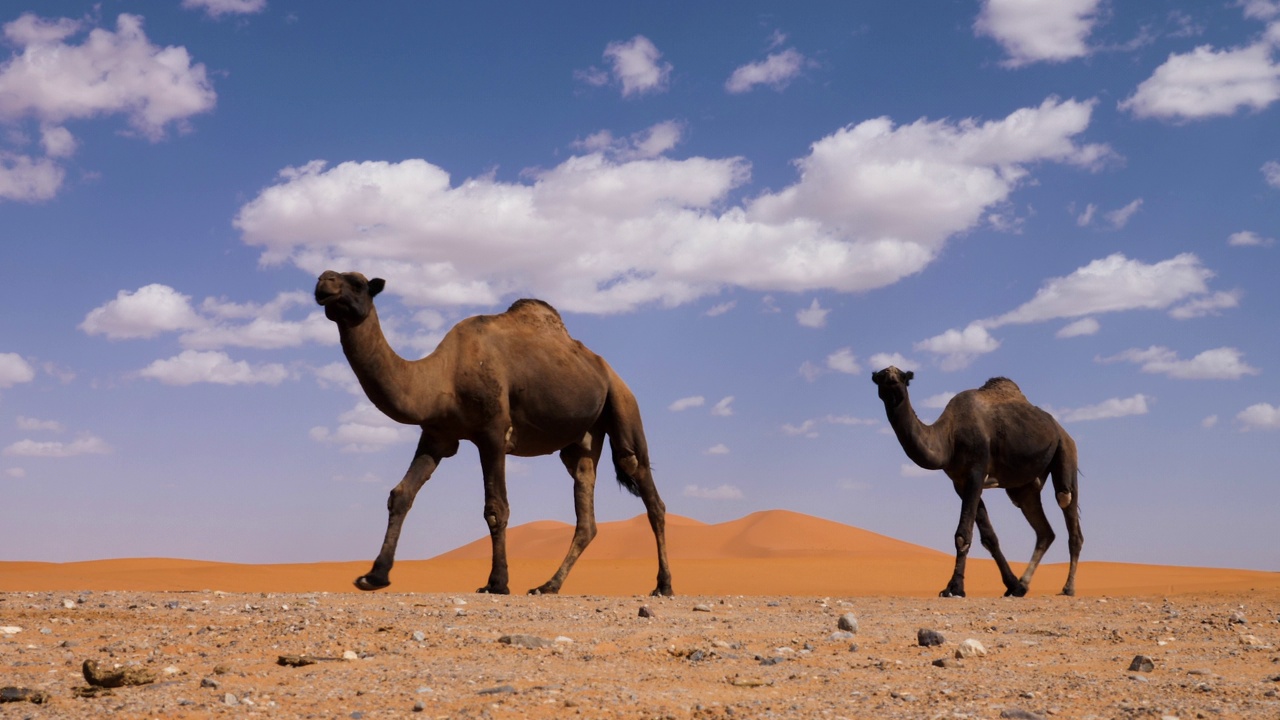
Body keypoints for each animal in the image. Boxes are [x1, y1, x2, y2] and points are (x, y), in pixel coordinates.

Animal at [314, 269, 675, 594]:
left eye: (358, 283)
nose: (323, 281)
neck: (442, 376)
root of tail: (606, 368)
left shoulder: (492, 433)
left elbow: (496, 508)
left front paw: (497, 583)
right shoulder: (437, 435)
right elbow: (401, 494)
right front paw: (374, 575)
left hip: (623, 403)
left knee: (645, 487)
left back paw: (663, 585)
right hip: (582, 440)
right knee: (586, 509)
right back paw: (548, 585)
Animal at [870, 363, 1080, 594]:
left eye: (903, 376)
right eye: (881, 375)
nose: (891, 377)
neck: (949, 437)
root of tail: (1061, 429)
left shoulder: (976, 472)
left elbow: (962, 535)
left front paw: (955, 587)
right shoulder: (960, 482)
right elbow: (989, 537)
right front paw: (1012, 584)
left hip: (1066, 449)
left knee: (1066, 502)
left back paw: (1068, 587)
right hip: (1024, 488)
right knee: (1044, 530)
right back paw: (1024, 584)